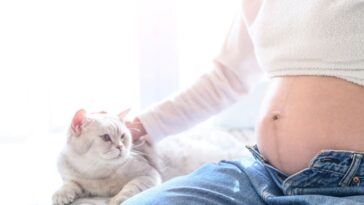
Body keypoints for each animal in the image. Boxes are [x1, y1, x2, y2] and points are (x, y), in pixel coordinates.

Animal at [52, 109, 250, 205]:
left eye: (123, 136)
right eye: (106, 138)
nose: (121, 147)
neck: (97, 173)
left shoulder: (148, 174)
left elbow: (130, 187)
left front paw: (118, 199)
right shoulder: (76, 180)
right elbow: (70, 184)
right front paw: (61, 195)